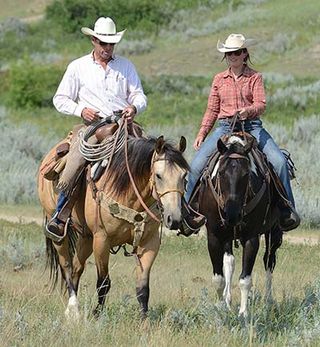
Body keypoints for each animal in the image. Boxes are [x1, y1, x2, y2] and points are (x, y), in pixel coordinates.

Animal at [37, 133, 189, 320]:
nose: (173, 219)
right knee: (66, 265)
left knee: (77, 268)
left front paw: (144, 321)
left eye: (184, 176)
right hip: (60, 232)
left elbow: (143, 288)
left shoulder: (149, 243)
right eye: (159, 175)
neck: (129, 193)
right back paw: (73, 308)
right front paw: (97, 315)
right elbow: (103, 283)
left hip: (86, 237)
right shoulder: (102, 240)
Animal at [196, 133, 284, 318]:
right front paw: (221, 307)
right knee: (230, 261)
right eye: (221, 172)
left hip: (274, 233)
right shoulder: (214, 236)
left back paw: (268, 301)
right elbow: (219, 277)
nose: (232, 214)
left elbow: (245, 279)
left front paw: (243, 313)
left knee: (269, 261)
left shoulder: (251, 238)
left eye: (246, 174)